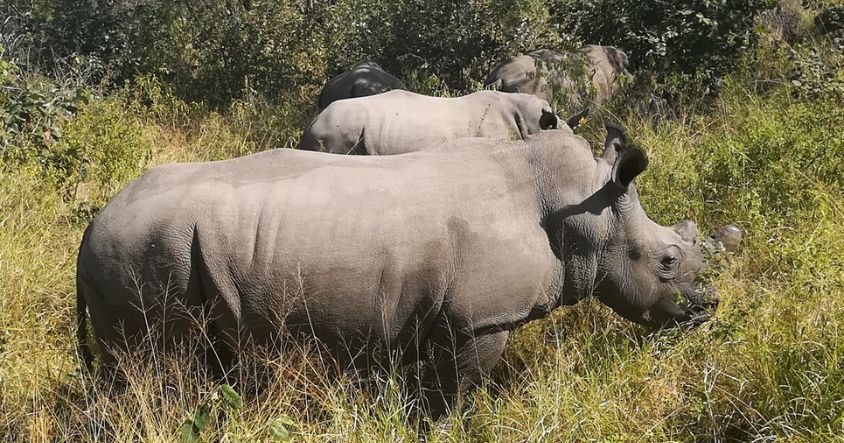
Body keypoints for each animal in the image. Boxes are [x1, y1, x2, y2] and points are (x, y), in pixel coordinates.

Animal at [77, 127, 731, 413]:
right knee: (154, 367)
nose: (708, 308)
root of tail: (92, 224)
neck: (581, 211)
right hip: (142, 249)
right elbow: (459, 395)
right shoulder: (480, 321)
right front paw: (452, 425)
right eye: (668, 261)